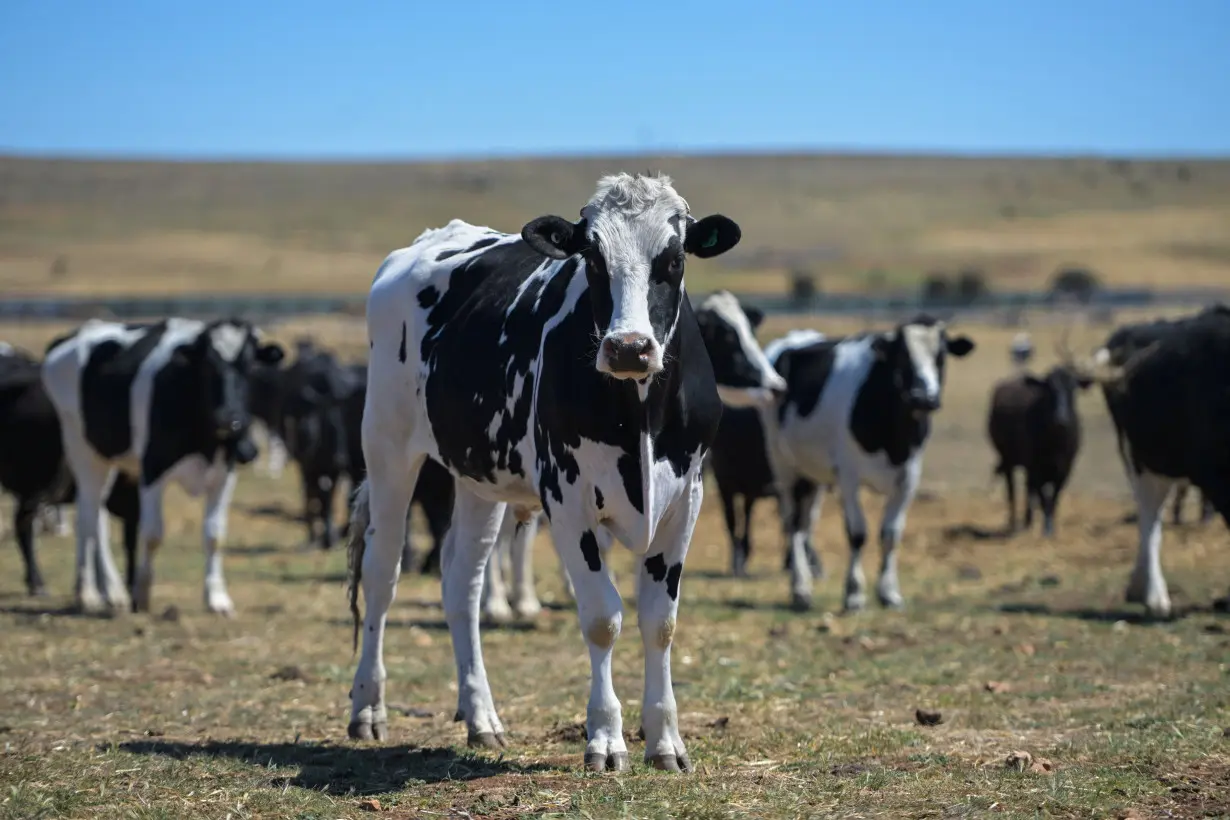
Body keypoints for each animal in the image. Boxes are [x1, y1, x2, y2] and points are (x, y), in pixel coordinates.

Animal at [42, 319, 284, 614]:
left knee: (97, 516)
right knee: (87, 516)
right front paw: (142, 594)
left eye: (249, 367)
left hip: (108, 458)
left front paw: (217, 598)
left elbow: (215, 535)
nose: (230, 419)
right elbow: (152, 534)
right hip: (82, 449)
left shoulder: (225, 473)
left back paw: (112, 591)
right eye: (207, 365)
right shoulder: (152, 469)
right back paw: (87, 593)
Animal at [762, 317, 974, 612]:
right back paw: (800, 588)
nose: (924, 397)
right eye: (903, 356)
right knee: (792, 523)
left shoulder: (909, 477)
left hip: (812, 474)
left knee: (805, 523)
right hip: (783, 465)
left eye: (941, 356)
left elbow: (891, 533)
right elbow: (857, 533)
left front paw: (889, 592)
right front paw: (854, 594)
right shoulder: (848, 476)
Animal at [984, 363, 1092, 536]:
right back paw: (1014, 523)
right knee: (1012, 490)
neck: (1056, 442)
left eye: (1073, 387)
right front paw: (1046, 529)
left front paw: (1050, 528)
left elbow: (1053, 498)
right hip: (1007, 459)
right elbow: (1043, 498)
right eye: (1049, 388)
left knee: (1028, 489)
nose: (1061, 418)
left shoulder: (1065, 470)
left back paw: (1028, 521)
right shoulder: (1035, 467)